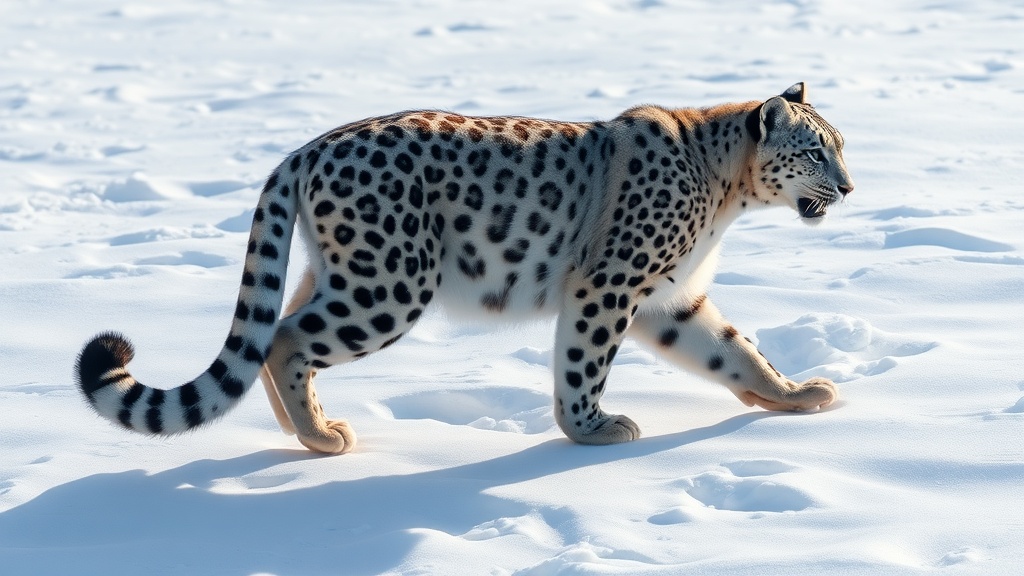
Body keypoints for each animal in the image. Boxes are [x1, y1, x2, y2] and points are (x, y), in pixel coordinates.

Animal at [76, 82, 854, 454]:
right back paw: (322, 438)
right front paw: (591, 430)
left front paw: (796, 395)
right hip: (389, 285)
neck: (726, 194)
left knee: (274, 331)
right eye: (816, 150)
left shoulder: (672, 298)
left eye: (839, 144)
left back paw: (306, 432)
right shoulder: (611, 285)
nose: (849, 187)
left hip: (341, 272)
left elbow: (735, 352)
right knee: (289, 338)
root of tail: (307, 149)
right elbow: (583, 363)